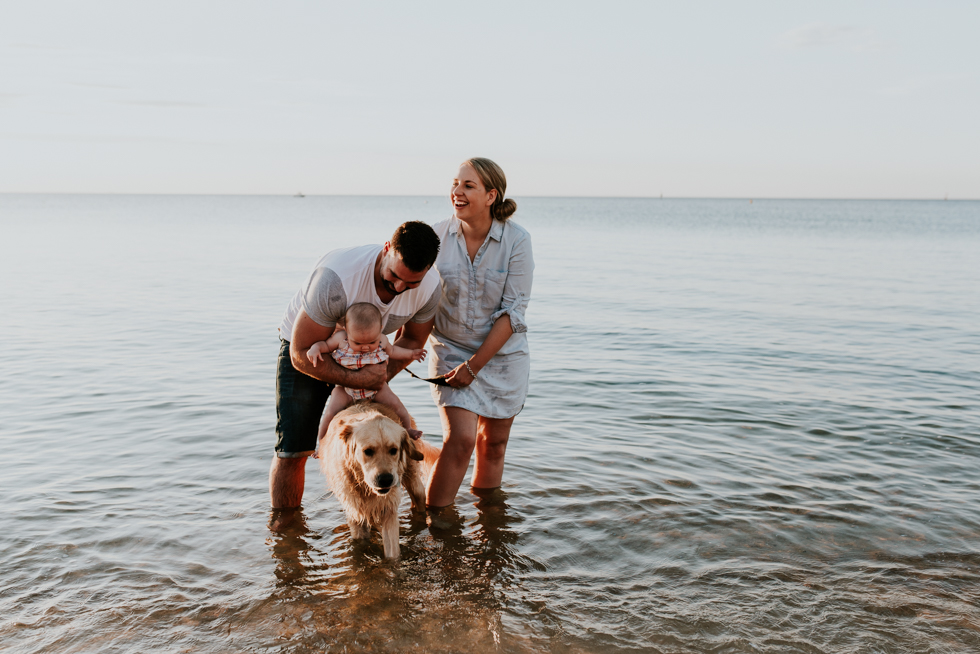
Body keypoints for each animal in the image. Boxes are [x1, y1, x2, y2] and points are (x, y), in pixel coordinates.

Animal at [316, 402, 438, 560]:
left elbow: (392, 554)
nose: (385, 479)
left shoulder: (389, 510)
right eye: (368, 451)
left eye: (394, 450)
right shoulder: (355, 512)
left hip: (415, 483)